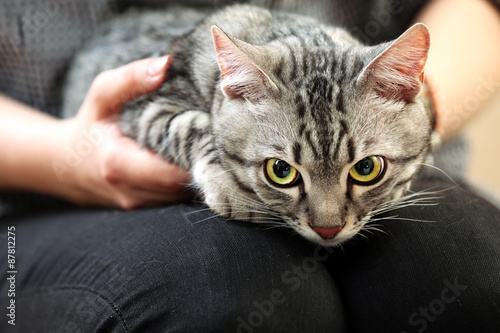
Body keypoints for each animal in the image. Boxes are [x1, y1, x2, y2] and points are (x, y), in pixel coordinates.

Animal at [63, 3, 434, 245]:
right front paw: (230, 188)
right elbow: (190, 127)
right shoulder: (146, 102)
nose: (327, 231)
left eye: (367, 168)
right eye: (281, 171)